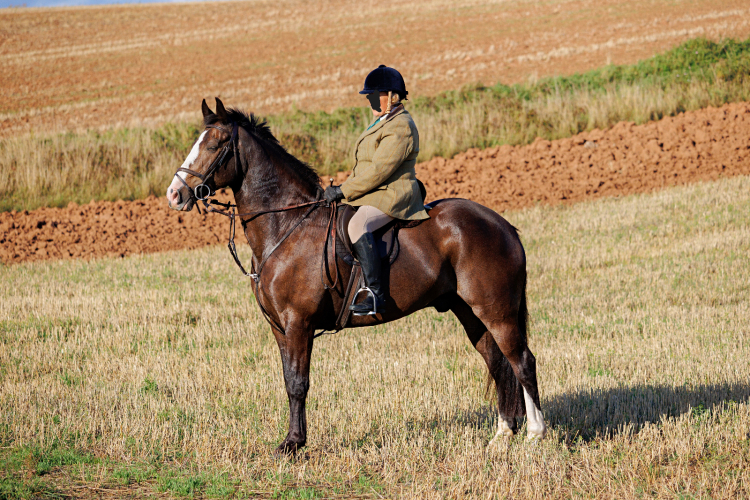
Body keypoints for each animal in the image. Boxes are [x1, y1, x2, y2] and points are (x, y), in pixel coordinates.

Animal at [165, 98, 546, 454]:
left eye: (215, 144)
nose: (174, 194)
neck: (287, 225)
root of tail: (501, 224)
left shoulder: (297, 322)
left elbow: (298, 383)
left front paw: (294, 444)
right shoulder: (279, 326)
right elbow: (288, 380)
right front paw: (292, 440)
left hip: (496, 311)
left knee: (522, 361)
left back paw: (535, 434)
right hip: (469, 312)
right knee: (498, 363)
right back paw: (502, 435)